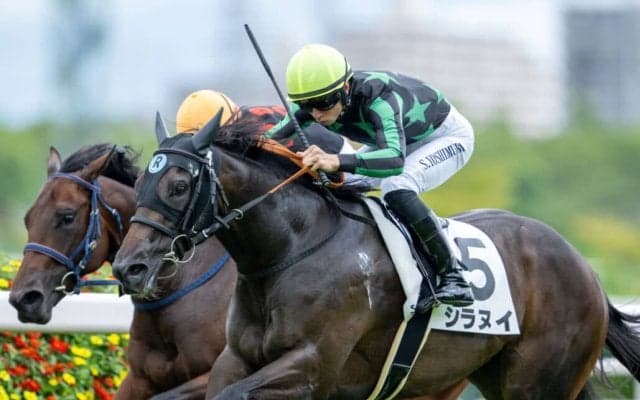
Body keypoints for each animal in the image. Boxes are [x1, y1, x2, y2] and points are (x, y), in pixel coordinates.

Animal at [111, 113, 640, 399]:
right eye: (142, 182)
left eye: (179, 185)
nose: (128, 267)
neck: (292, 249)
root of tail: (586, 269)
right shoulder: (234, 360)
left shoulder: (313, 365)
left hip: (539, 381)